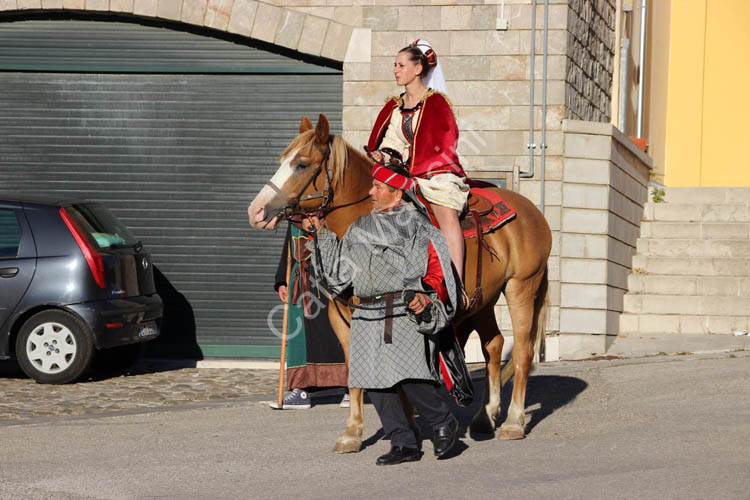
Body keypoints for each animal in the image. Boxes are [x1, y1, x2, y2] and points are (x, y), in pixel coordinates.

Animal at [250, 113, 556, 454]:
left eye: (302, 164)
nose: (256, 211)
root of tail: (531, 211)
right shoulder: (342, 317)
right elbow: (358, 369)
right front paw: (355, 432)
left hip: (521, 287)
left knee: (523, 352)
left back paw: (514, 422)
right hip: (482, 300)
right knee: (494, 346)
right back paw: (484, 416)